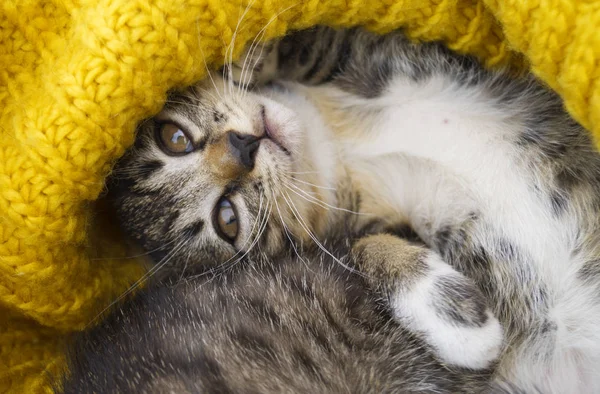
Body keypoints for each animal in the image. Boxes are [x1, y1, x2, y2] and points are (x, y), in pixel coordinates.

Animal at [65, 26, 600, 392]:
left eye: (173, 137)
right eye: (228, 218)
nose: (243, 148)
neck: (332, 145)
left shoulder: (356, 50)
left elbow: (298, 44)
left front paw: (244, 62)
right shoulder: (381, 223)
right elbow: (364, 245)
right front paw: (454, 315)